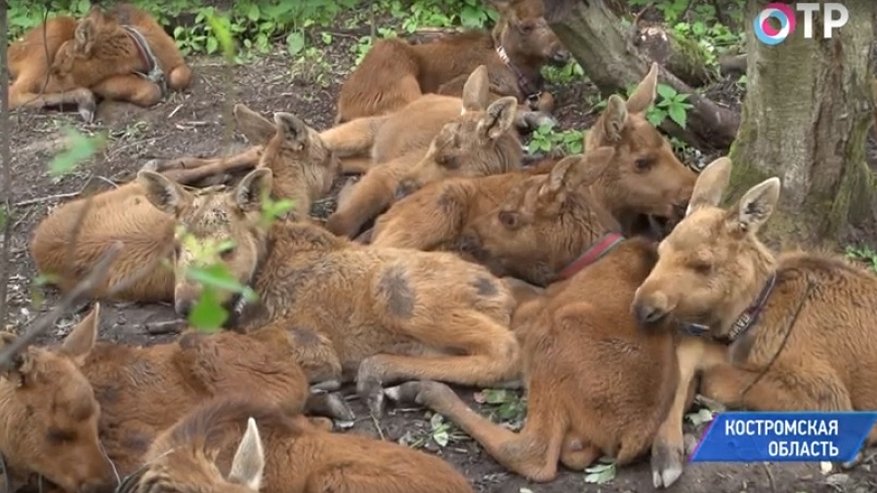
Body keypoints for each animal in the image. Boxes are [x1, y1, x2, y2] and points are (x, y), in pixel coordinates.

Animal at [628, 157, 876, 484]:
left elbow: (716, 378)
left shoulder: (829, 394)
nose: (643, 307)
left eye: (703, 263)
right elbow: (689, 352)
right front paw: (666, 452)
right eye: (660, 250)